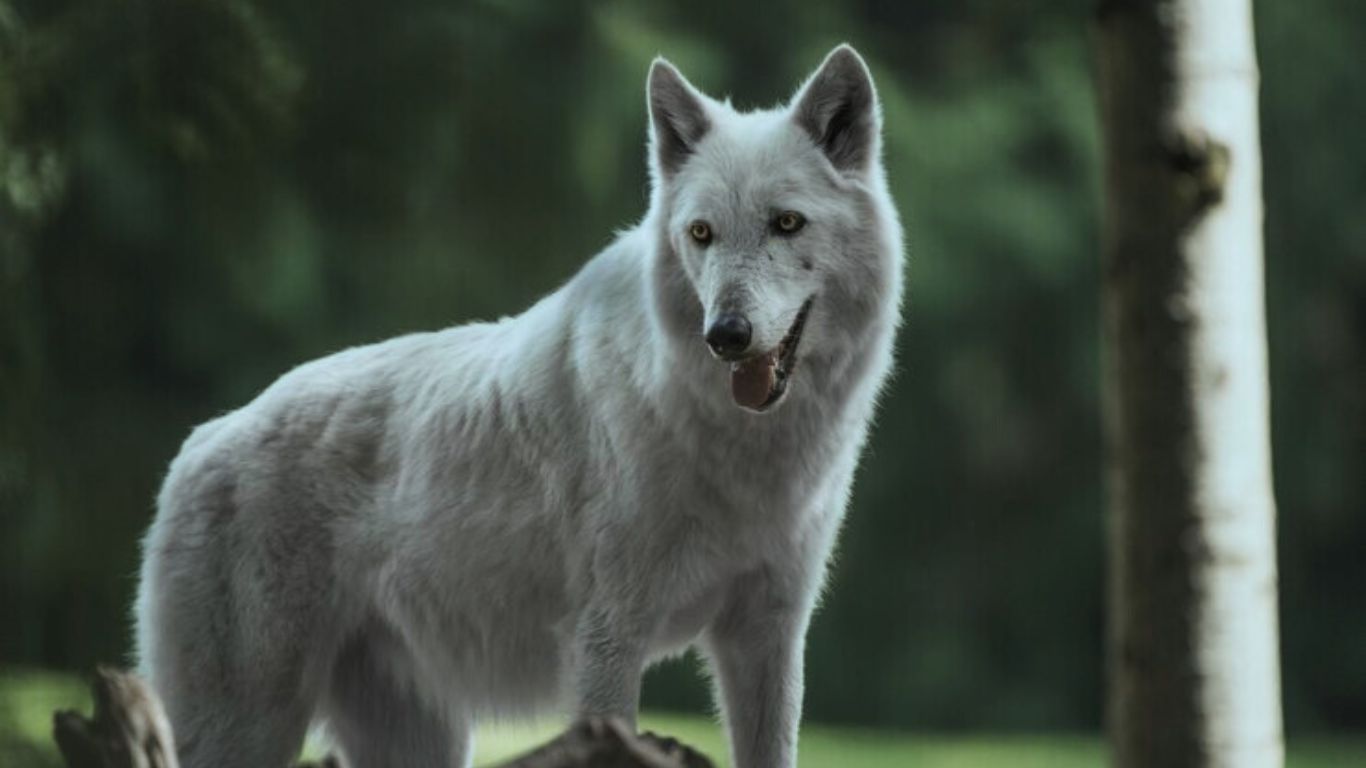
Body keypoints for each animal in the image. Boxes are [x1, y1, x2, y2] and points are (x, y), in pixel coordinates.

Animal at [135, 43, 907, 765]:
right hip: (249, 726)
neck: (737, 447)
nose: (725, 335)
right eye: (701, 234)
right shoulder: (608, 638)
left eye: (787, 224)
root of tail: (199, 441)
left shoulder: (768, 635)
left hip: (418, 736)